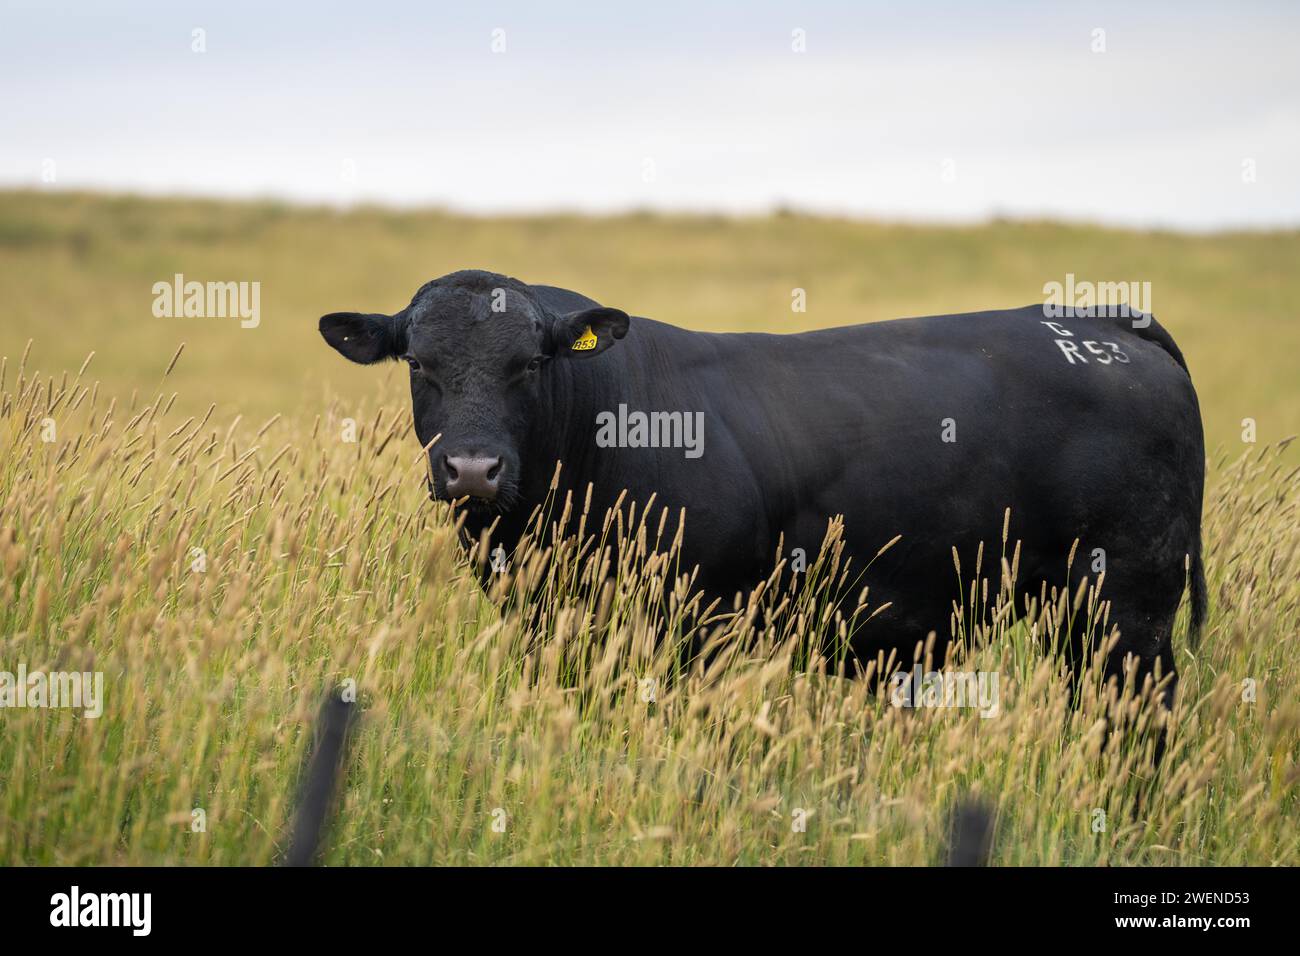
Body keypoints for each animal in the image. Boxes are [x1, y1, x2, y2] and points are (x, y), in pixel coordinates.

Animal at [317, 269, 1206, 717]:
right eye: (418, 362)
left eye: (531, 363)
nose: (473, 470)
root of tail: (1099, 321)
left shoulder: (699, 622)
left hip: (1131, 604)